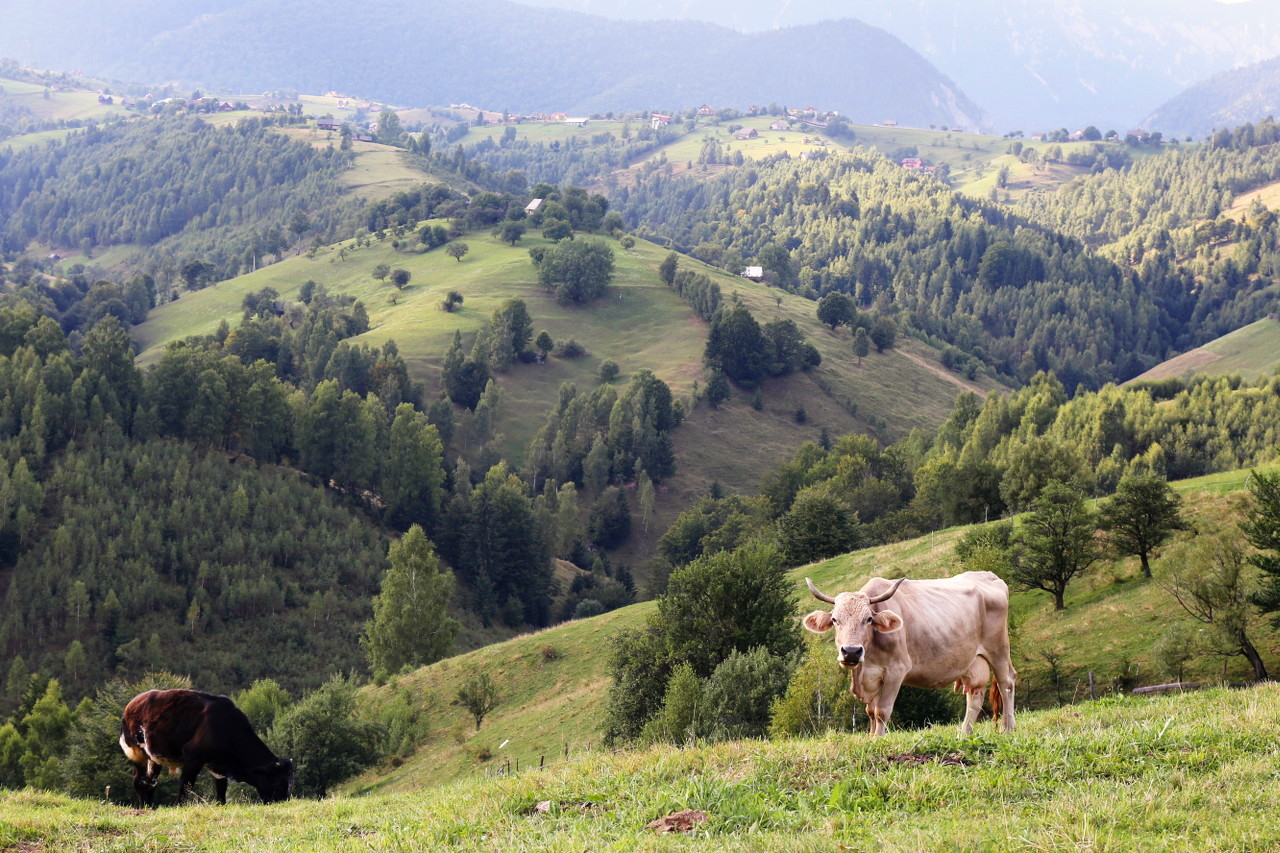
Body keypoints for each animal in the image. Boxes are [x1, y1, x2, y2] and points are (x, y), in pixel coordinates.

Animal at [117, 686, 293, 804]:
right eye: (280, 783)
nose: (282, 801)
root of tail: (132, 704)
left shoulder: (219, 767)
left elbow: (221, 789)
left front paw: (221, 805)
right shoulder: (192, 757)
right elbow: (186, 785)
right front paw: (178, 806)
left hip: (154, 757)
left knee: (150, 781)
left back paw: (149, 805)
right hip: (137, 752)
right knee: (140, 781)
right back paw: (144, 806)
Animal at [798, 568, 1018, 732]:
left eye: (868, 619)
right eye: (835, 620)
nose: (851, 651)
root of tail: (989, 576)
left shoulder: (897, 670)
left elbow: (881, 711)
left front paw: (878, 741)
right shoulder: (871, 676)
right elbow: (870, 712)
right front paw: (870, 739)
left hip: (998, 648)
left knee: (1007, 682)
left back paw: (1007, 728)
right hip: (973, 660)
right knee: (975, 695)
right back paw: (964, 733)